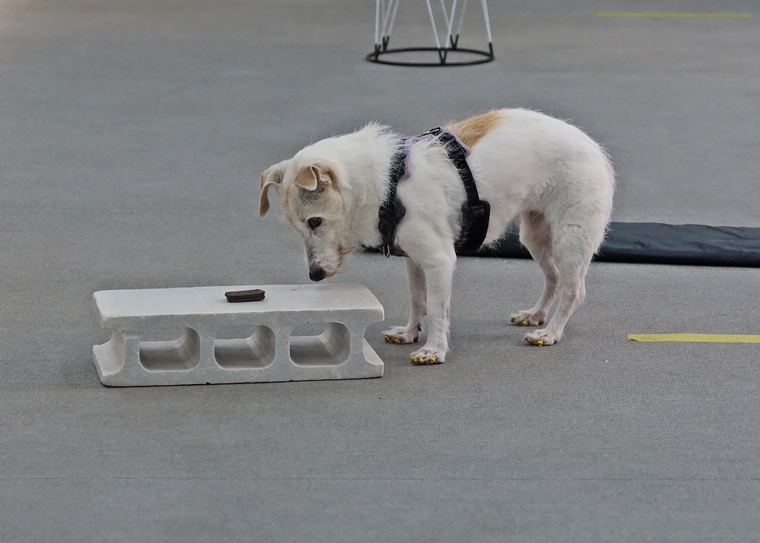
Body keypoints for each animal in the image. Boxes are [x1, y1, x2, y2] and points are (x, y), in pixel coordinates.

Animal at [258, 108, 615, 364]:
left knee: (573, 289)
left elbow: (437, 309)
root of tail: (596, 149)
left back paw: (551, 331)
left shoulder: (439, 262)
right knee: (553, 277)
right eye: (298, 227)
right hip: (535, 234)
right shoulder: (416, 261)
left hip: (571, 237)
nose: (314, 275)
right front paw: (409, 333)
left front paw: (435, 350)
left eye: (315, 222)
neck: (388, 185)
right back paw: (537, 316)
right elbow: (418, 300)